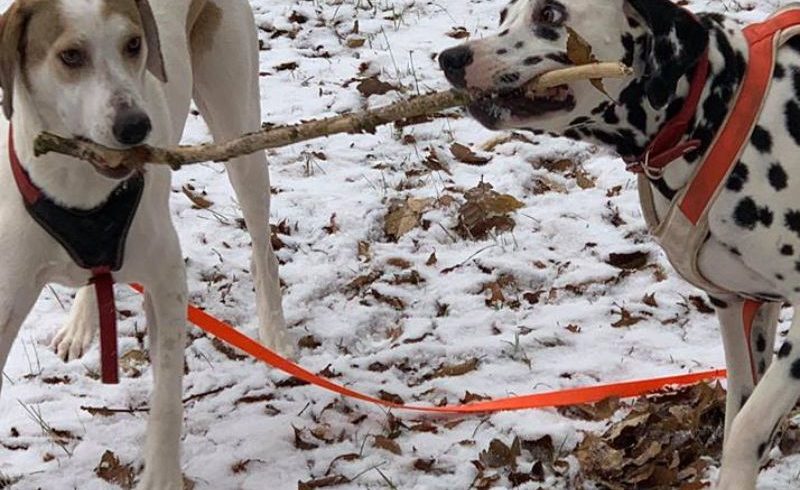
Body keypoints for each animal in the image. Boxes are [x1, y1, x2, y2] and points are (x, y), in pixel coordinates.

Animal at [0, 0, 294, 486]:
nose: (135, 125)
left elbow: (168, 399)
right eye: (70, 56)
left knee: (262, 247)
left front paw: (162, 474)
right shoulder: (8, 293)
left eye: (134, 43)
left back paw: (276, 334)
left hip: (239, 129)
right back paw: (82, 322)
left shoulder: (167, 282)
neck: (82, 190)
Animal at [440, 0, 800, 488]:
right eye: (502, 17)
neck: (711, 107)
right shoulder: (740, 306)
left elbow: (747, 430)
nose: (451, 58)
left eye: (549, 14)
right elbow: (738, 413)